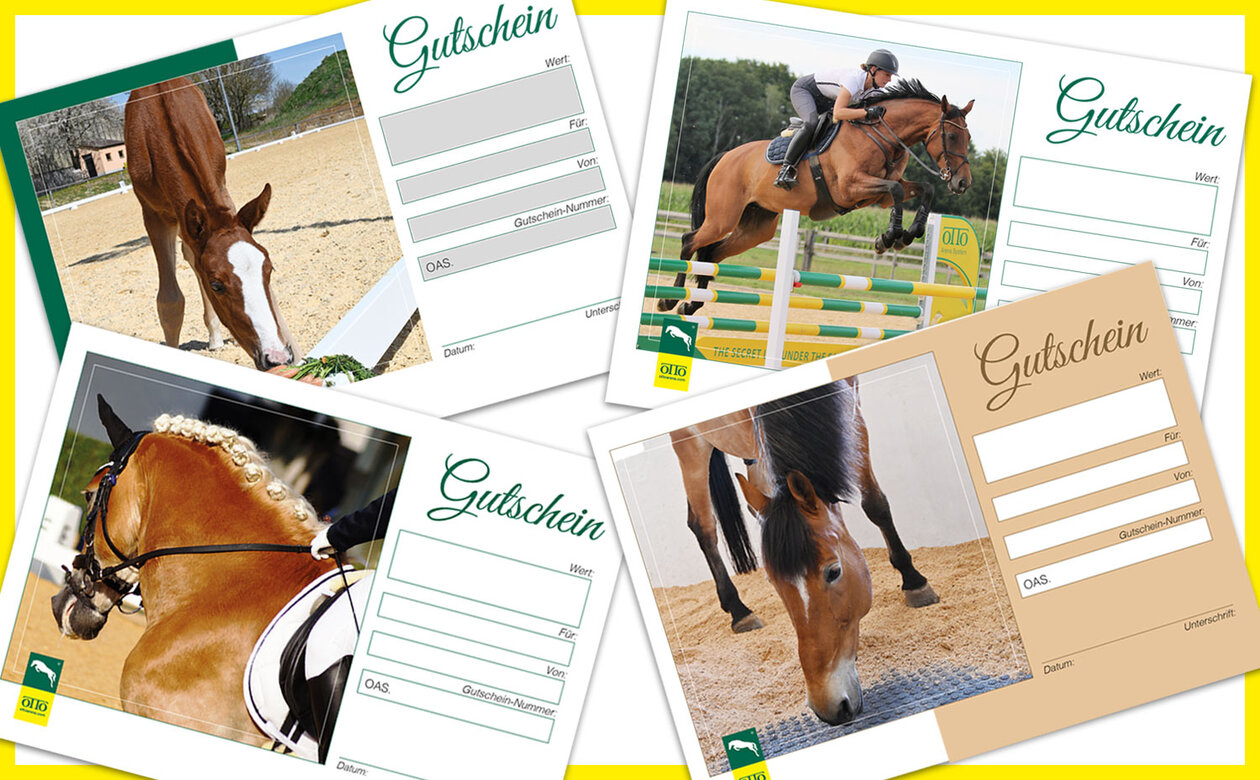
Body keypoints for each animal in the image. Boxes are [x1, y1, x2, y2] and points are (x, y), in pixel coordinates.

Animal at [125, 77, 300, 370]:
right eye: (216, 285)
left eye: (270, 270)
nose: (275, 357)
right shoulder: (153, 215)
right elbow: (169, 302)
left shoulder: (221, 193)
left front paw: (296, 353)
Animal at [660, 80, 974, 316]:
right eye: (952, 136)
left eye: (968, 138)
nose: (962, 183)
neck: (881, 135)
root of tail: (726, 155)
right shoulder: (850, 188)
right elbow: (897, 192)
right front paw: (888, 239)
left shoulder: (881, 195)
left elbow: (923, 189)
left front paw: (908, 234)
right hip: (722, 217)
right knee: (690, 242)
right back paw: (669, 300)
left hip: (757, 227)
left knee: (712, 254)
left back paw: (691, 305)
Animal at [667, 378, 938, 725]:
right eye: (772, 582)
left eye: (834, 572)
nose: (828, 706)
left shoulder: (851, 409)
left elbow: (874, 503)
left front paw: (914, 580)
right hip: (688, 443)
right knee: (703, 526)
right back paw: (739, 611)